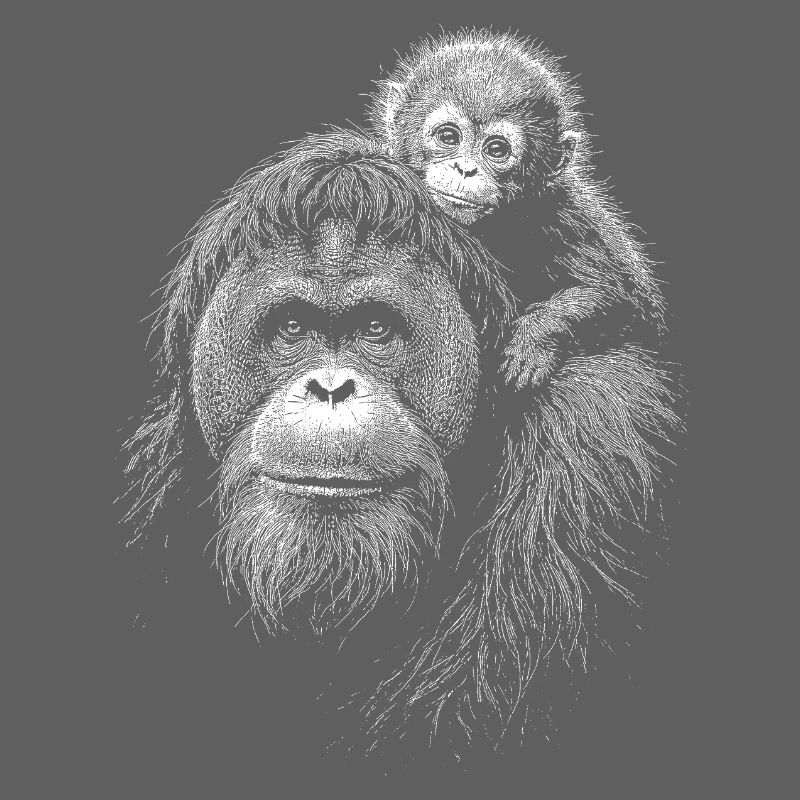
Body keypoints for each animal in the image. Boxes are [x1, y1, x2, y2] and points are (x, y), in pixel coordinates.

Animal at [366, 28, 668, 388]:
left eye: (496, 149)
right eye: (448, 137)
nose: (465, 169)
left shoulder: (563, 216)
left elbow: (615, 296)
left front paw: (535, 338)